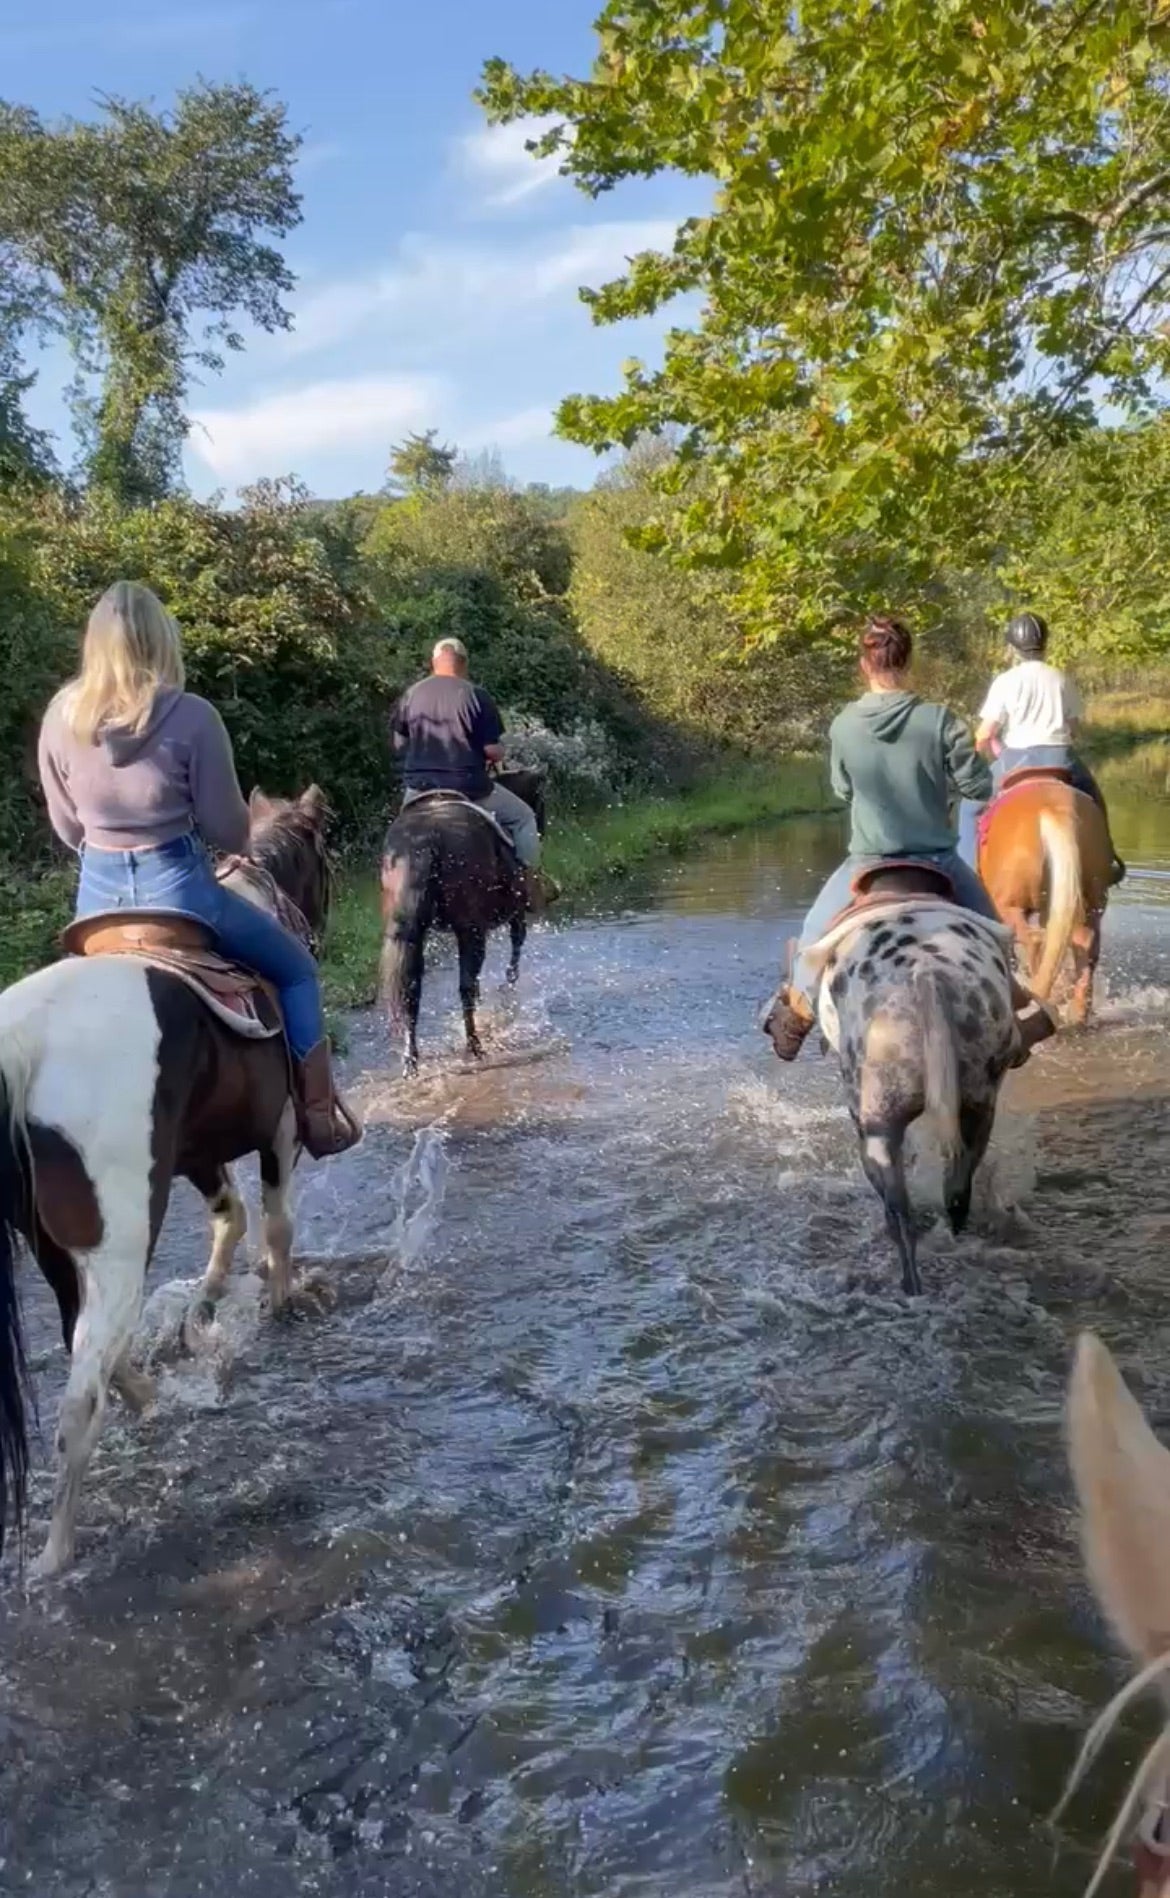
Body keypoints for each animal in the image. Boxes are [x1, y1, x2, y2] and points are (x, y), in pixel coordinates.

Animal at [0, 778, 338, 1579]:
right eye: (328, 860)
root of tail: (22, 1042)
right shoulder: (280, 1131)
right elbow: (276, 1224)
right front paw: (279, 1301)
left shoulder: (194, 1156)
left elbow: (231, 1219)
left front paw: (204, 1316)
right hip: (119, 1241)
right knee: (80, 1398)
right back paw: (55, 1555)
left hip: (58, 1248)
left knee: (94, 1346)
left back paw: (151, 1393)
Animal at [381, 762, 550, 1078]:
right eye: (541, 802)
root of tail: (427, 839)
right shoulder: (513, 913)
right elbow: (517, 941)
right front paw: (508, 985)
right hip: (470, 930)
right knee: (465, 986)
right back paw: (474, 1046)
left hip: (410, 934)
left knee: (411, 990)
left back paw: (411, 1060)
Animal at [763, 869, 1018, 1298]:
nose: (771, 1032)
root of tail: (927, 976)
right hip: (978, 1105)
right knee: (956, 1193)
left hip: (877, 1121)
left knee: (899, 1213)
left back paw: (909, 1283)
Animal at [972, 770, 1109, 1024]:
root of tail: (1054, 810)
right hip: (1087, 901)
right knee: (1084, 943)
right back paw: (1077, 1012)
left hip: (1007, 905)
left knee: (1033, 940)